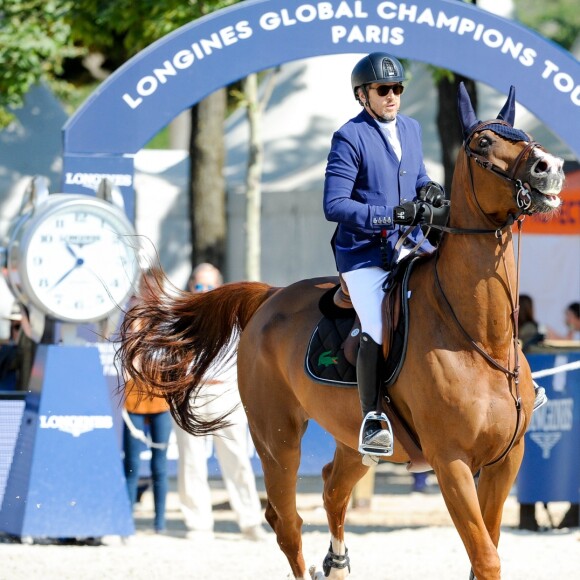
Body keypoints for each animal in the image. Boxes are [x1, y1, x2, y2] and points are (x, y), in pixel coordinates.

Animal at [118, 86, 560, 580]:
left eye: (524, 136)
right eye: (484, 143)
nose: (550, 168)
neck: (480, 337)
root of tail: (270, 297)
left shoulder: (506, 461)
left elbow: (488, 550)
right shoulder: (452, 463)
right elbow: (485, 558)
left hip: (353, 441)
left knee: (332, 489)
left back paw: (337, 564)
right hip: (277, 440)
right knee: (286, 521)